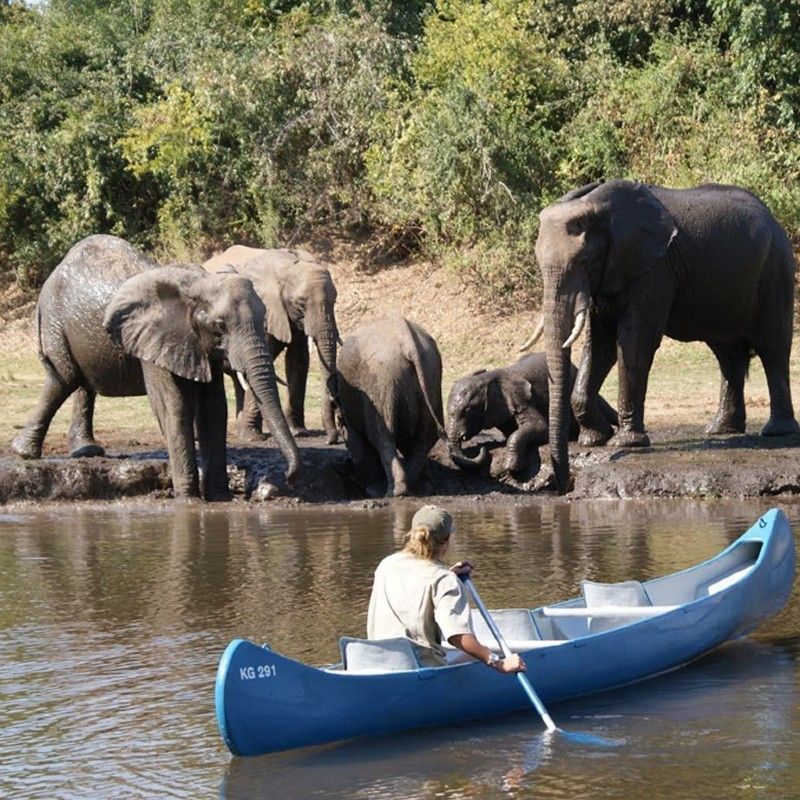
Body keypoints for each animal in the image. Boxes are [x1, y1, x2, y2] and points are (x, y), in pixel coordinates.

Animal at [10, 234, 300, 500]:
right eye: (220, 326)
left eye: (264, 320)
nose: (287, 477)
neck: (200, 283)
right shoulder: (156, 340)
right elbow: (174, 406)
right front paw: (189, 500)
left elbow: (214, 408)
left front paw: (219, 498)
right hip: (54, 320)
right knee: (64, 379)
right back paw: (23, 452)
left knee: (83, 383)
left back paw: (86, 451)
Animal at [204, 246, 340, 444]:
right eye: (300, 303)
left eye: (334, 300)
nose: (331, 440)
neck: (286, 266)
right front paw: (252, 438)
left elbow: (298, 360)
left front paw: (299, 432)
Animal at [335, 314, 445, 498]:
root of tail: (408, 341)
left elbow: (358, 443)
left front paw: (371, 489)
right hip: (431, 376)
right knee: (425, 436)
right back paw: (419, 487)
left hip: (381, 383)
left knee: (382, 436)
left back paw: (394, 492)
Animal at [446, 352, 618, 478]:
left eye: (468, 411)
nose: (482, 447)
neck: (487, 378)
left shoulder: (521, 398)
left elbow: (540, 427)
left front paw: (511, 468)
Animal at [528, 179, 799, 493]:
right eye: (538, 262)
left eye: (586, 258)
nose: (563, 484)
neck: (598, 205)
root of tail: (774, 219)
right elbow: (599, 346)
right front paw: (595, 439)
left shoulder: (655, 269)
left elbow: (633, 341)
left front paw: (626, 443)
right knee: (727, 355)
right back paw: (720, 430)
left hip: (776, 269)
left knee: (773, 348)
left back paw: (776, 432)